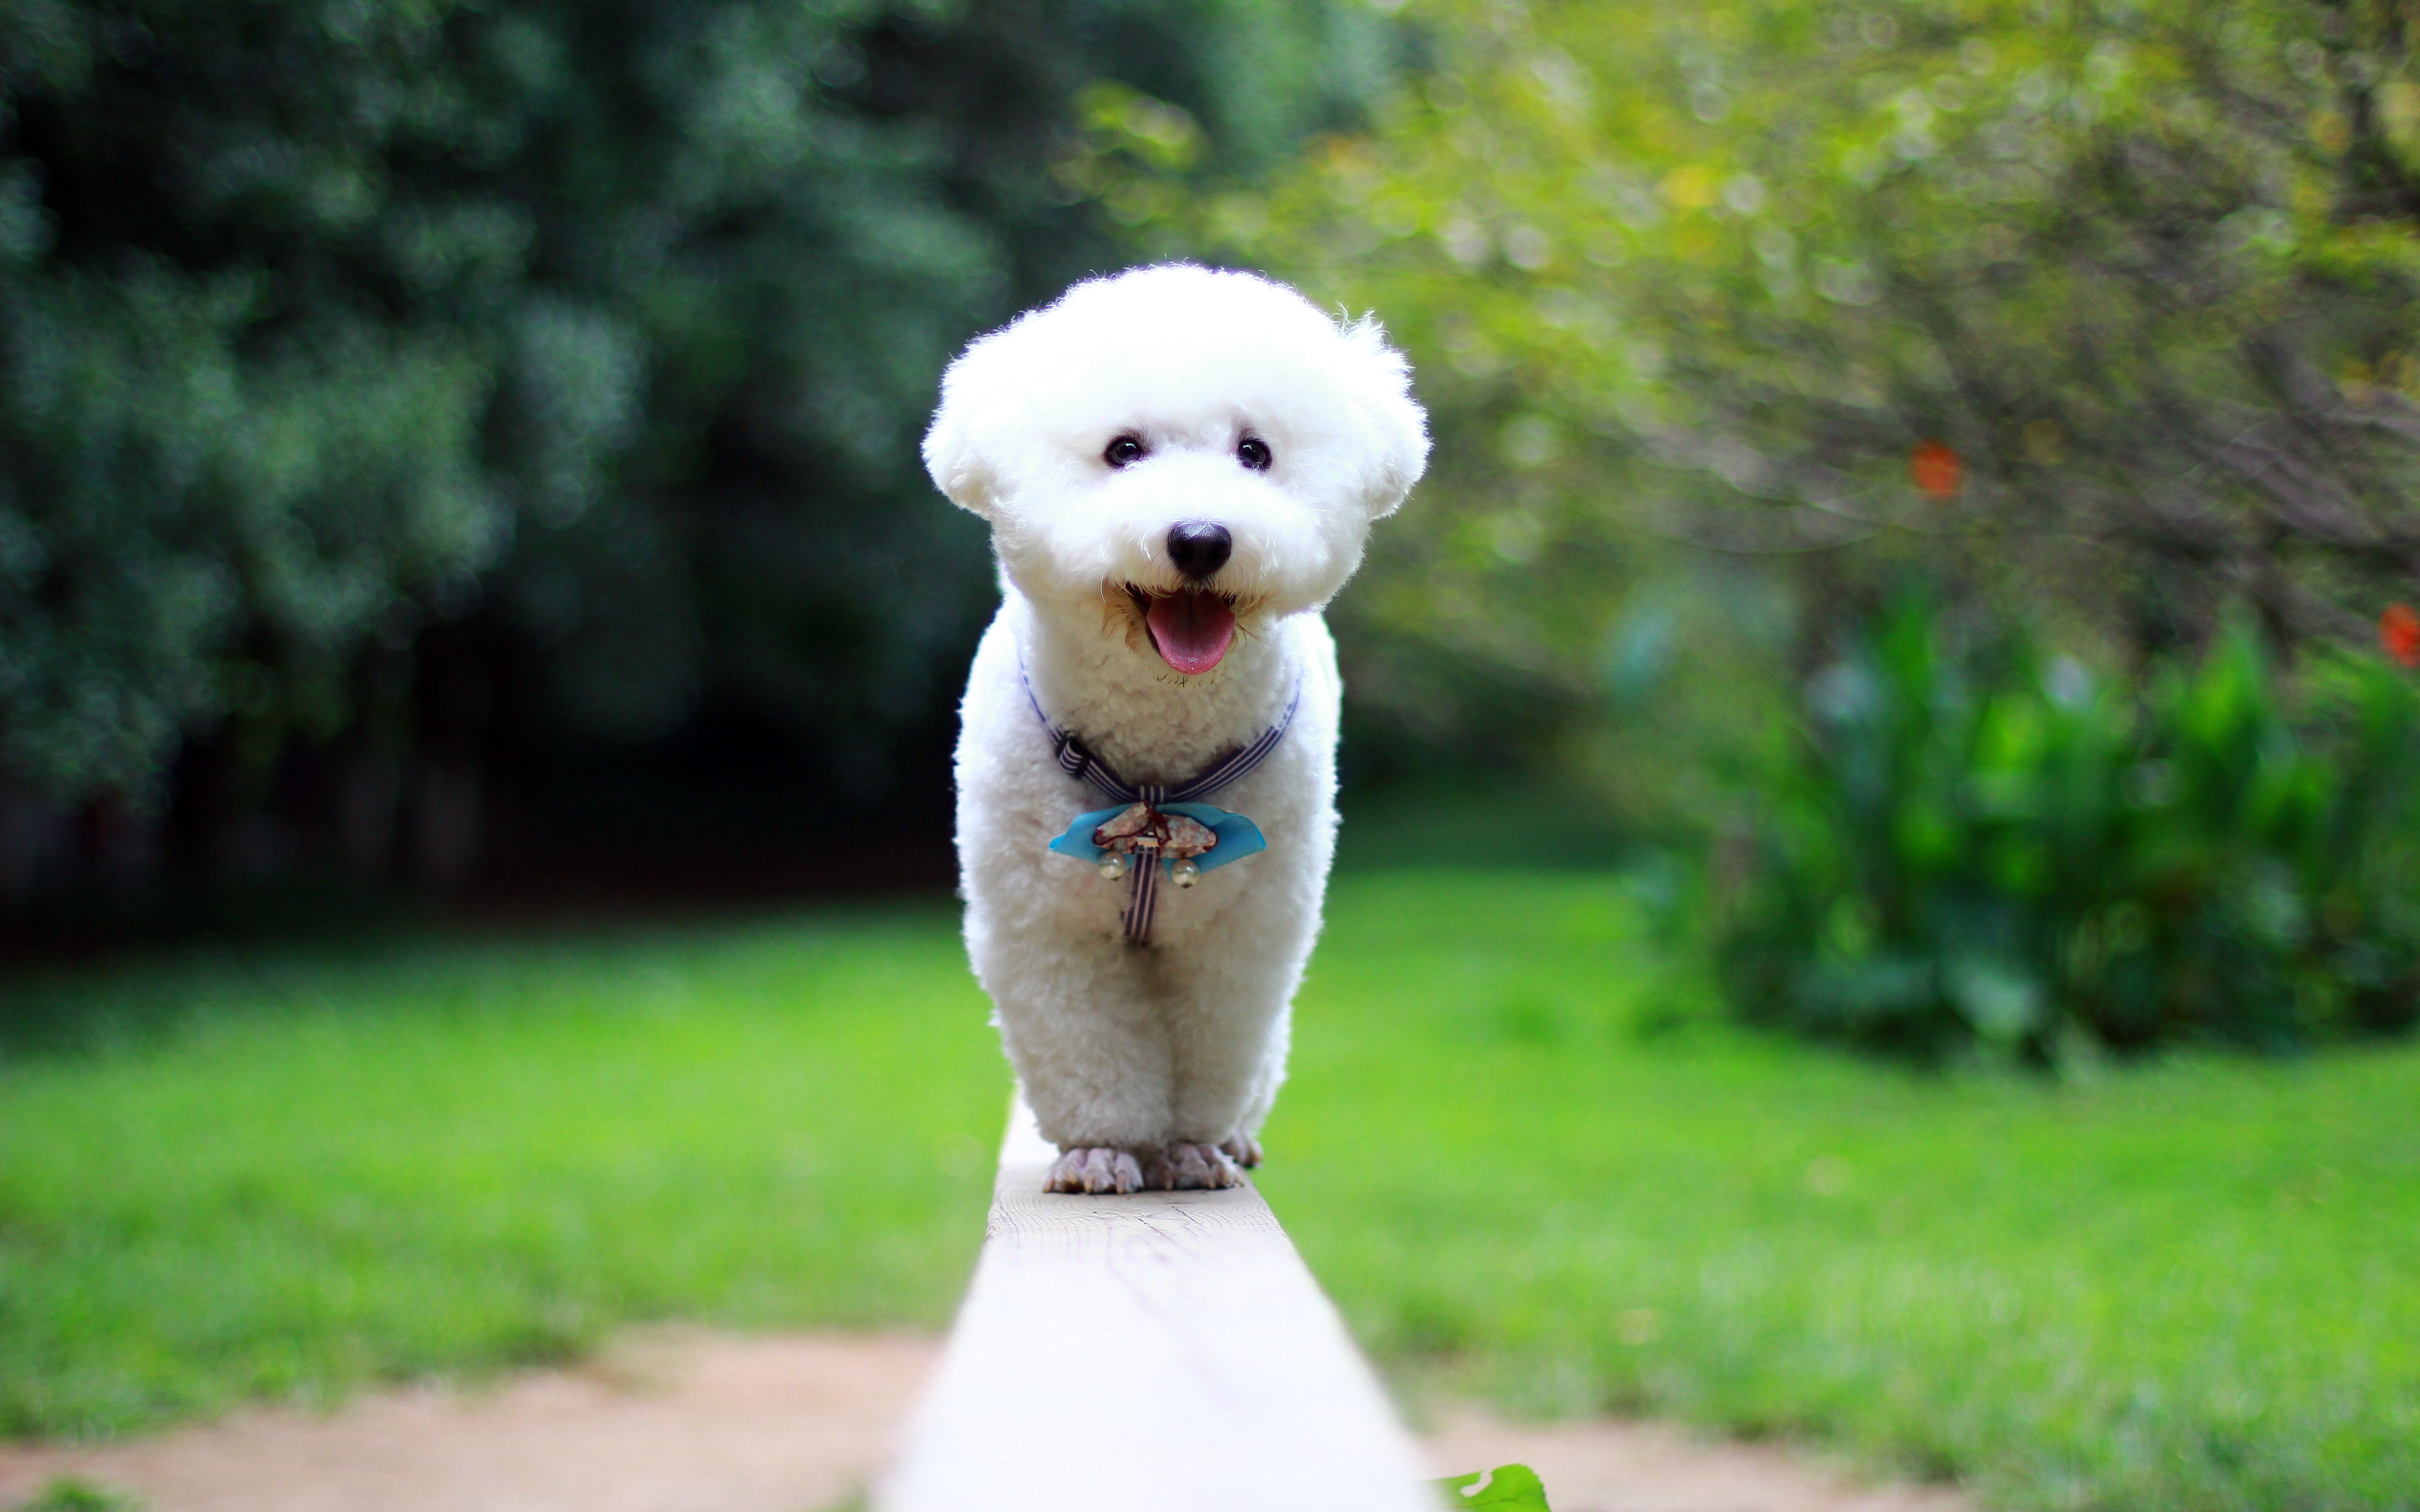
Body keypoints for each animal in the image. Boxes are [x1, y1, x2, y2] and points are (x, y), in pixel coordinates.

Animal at [919, 268, 1413, 1190]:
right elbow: (1087, 1047)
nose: (1201, 539)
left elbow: (1217, 1047)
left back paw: (1237, 1138)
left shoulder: (1245, 938)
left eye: (1254, 453)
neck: (1154, 772)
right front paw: (1104, 1149)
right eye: (1123, 451)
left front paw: (1190, 1146)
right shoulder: (1045, 931)